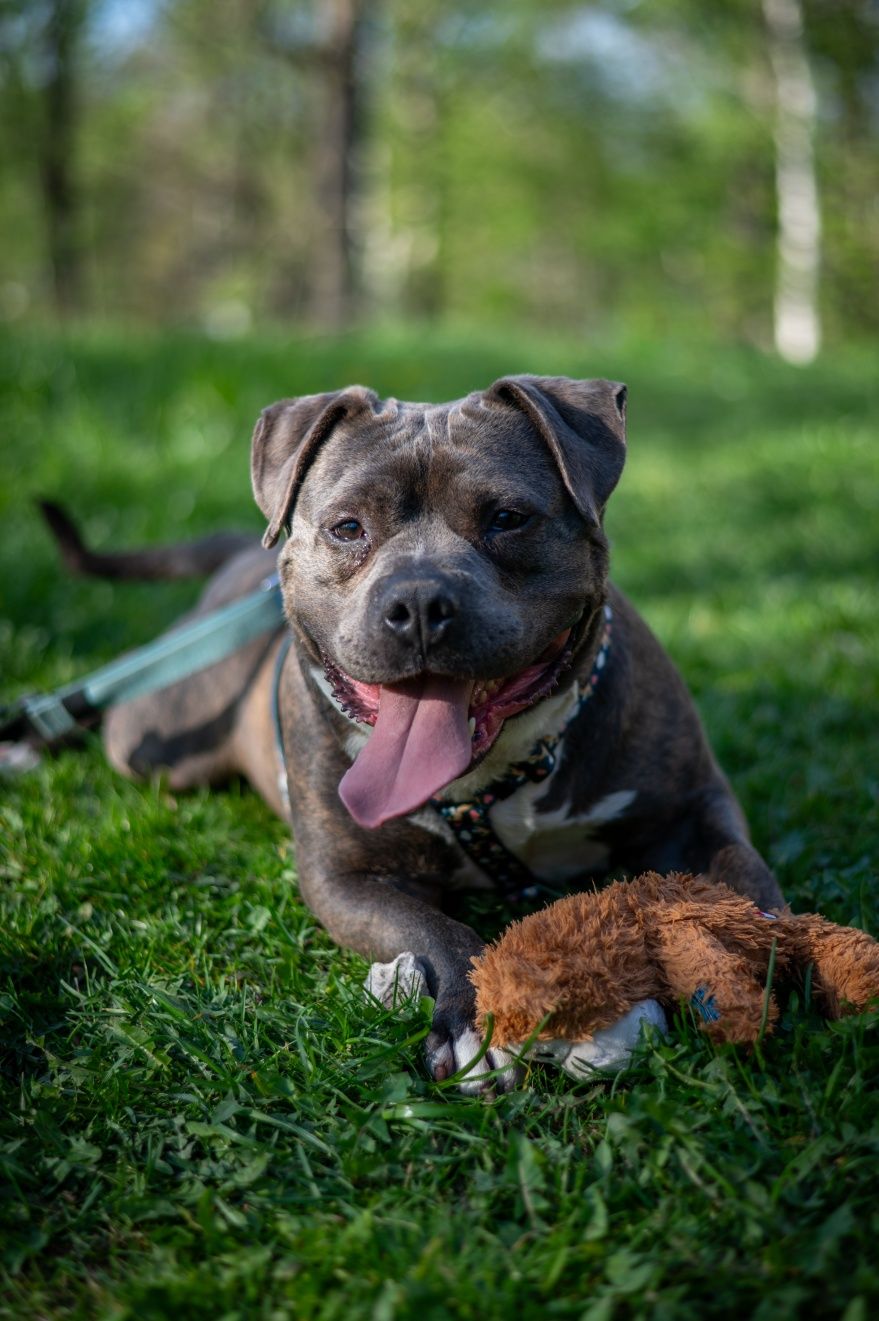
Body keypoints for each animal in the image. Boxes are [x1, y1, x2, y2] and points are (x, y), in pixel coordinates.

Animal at [42, 375, 782, 1093]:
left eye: (507, 518)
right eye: (347, 527)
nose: (420, 601)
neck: (496, 775)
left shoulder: (691, 808)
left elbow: (743, 872)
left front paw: (758, 951)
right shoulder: (348, 877)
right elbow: (435, 928)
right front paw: (475, 1025)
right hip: (157, 734)